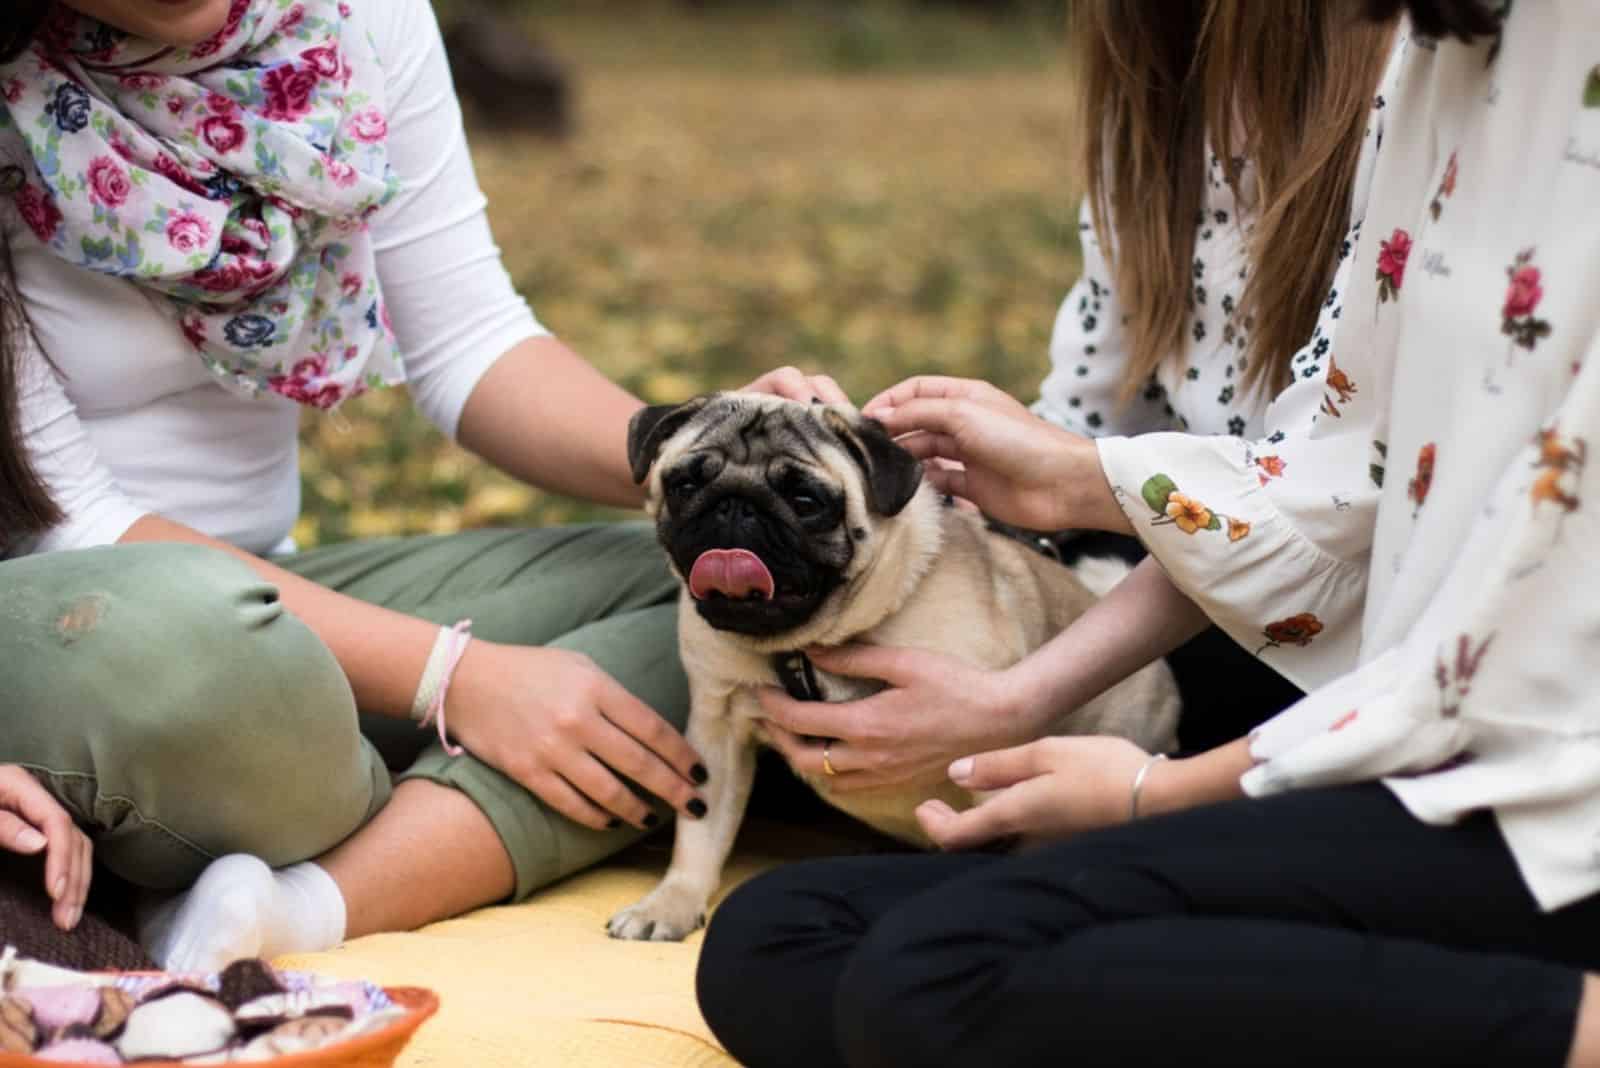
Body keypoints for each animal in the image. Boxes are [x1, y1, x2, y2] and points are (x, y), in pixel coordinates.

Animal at [604, 394, 1184, 940]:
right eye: (685, 483)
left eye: (805, 500)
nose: (734, 506)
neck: (805, 644)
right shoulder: (718, 732)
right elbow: (701, 830)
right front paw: (671, 904)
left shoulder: (985, 755)